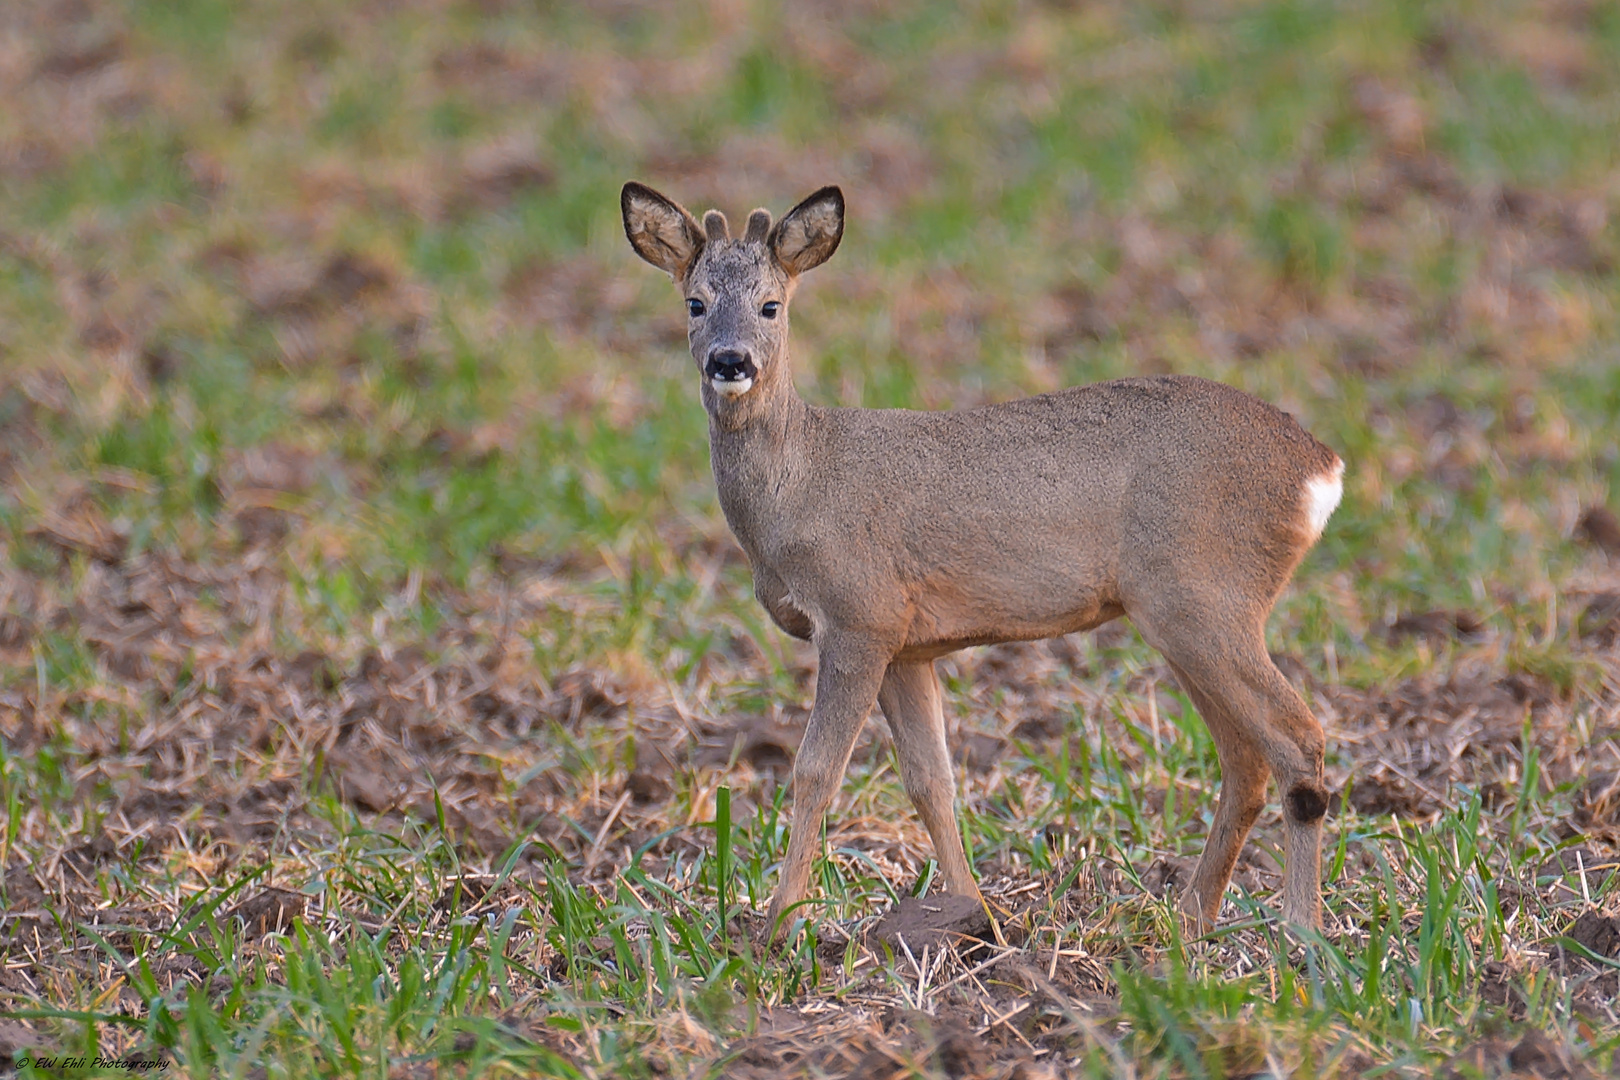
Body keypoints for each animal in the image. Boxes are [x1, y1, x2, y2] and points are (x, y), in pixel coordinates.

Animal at [618, 179, 1341, 939]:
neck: (802, 481)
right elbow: (932, 780)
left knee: (1298, 740)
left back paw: (1300, 931)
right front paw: (974, 913)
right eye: (695, 302)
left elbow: (816, 770)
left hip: (1205, 597)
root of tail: (1320, 467)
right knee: (1245, 759)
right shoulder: (908, 644)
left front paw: (779, 925)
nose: (730, 362)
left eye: (771, 304)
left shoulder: (858, 616)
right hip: (1186, 615)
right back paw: (1189, 916)